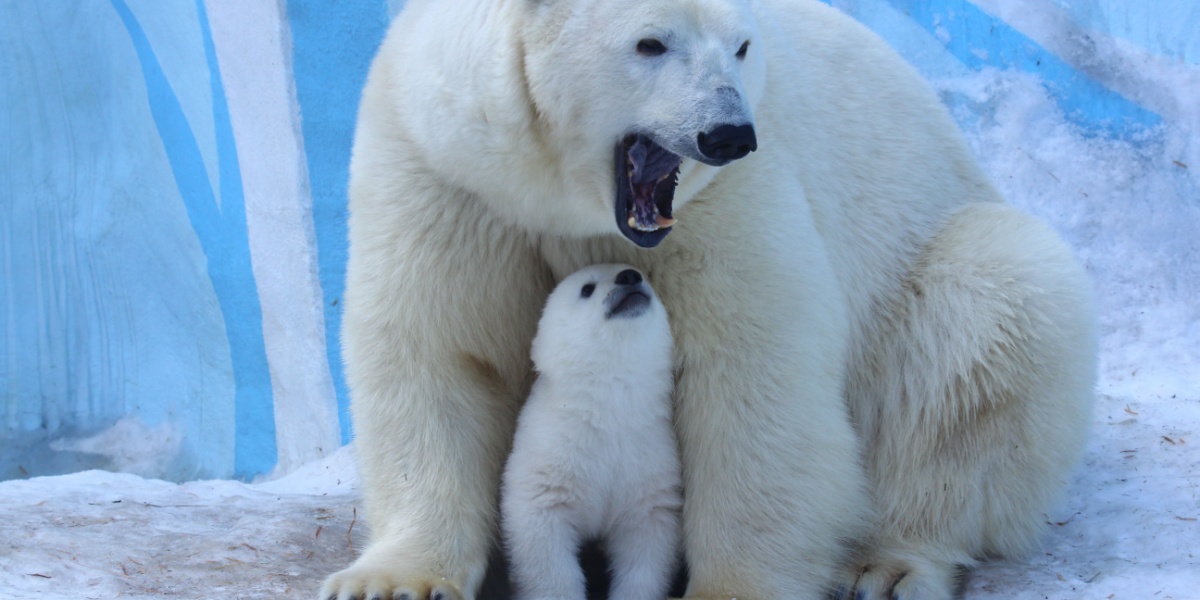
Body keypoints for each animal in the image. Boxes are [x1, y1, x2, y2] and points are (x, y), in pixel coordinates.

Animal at [501, 264, 681, 600]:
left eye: (643, 275)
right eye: (587, 288)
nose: (629, 276)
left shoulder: (649, 460)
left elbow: (647, 540)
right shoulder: (548, 454)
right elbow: (543, 543)